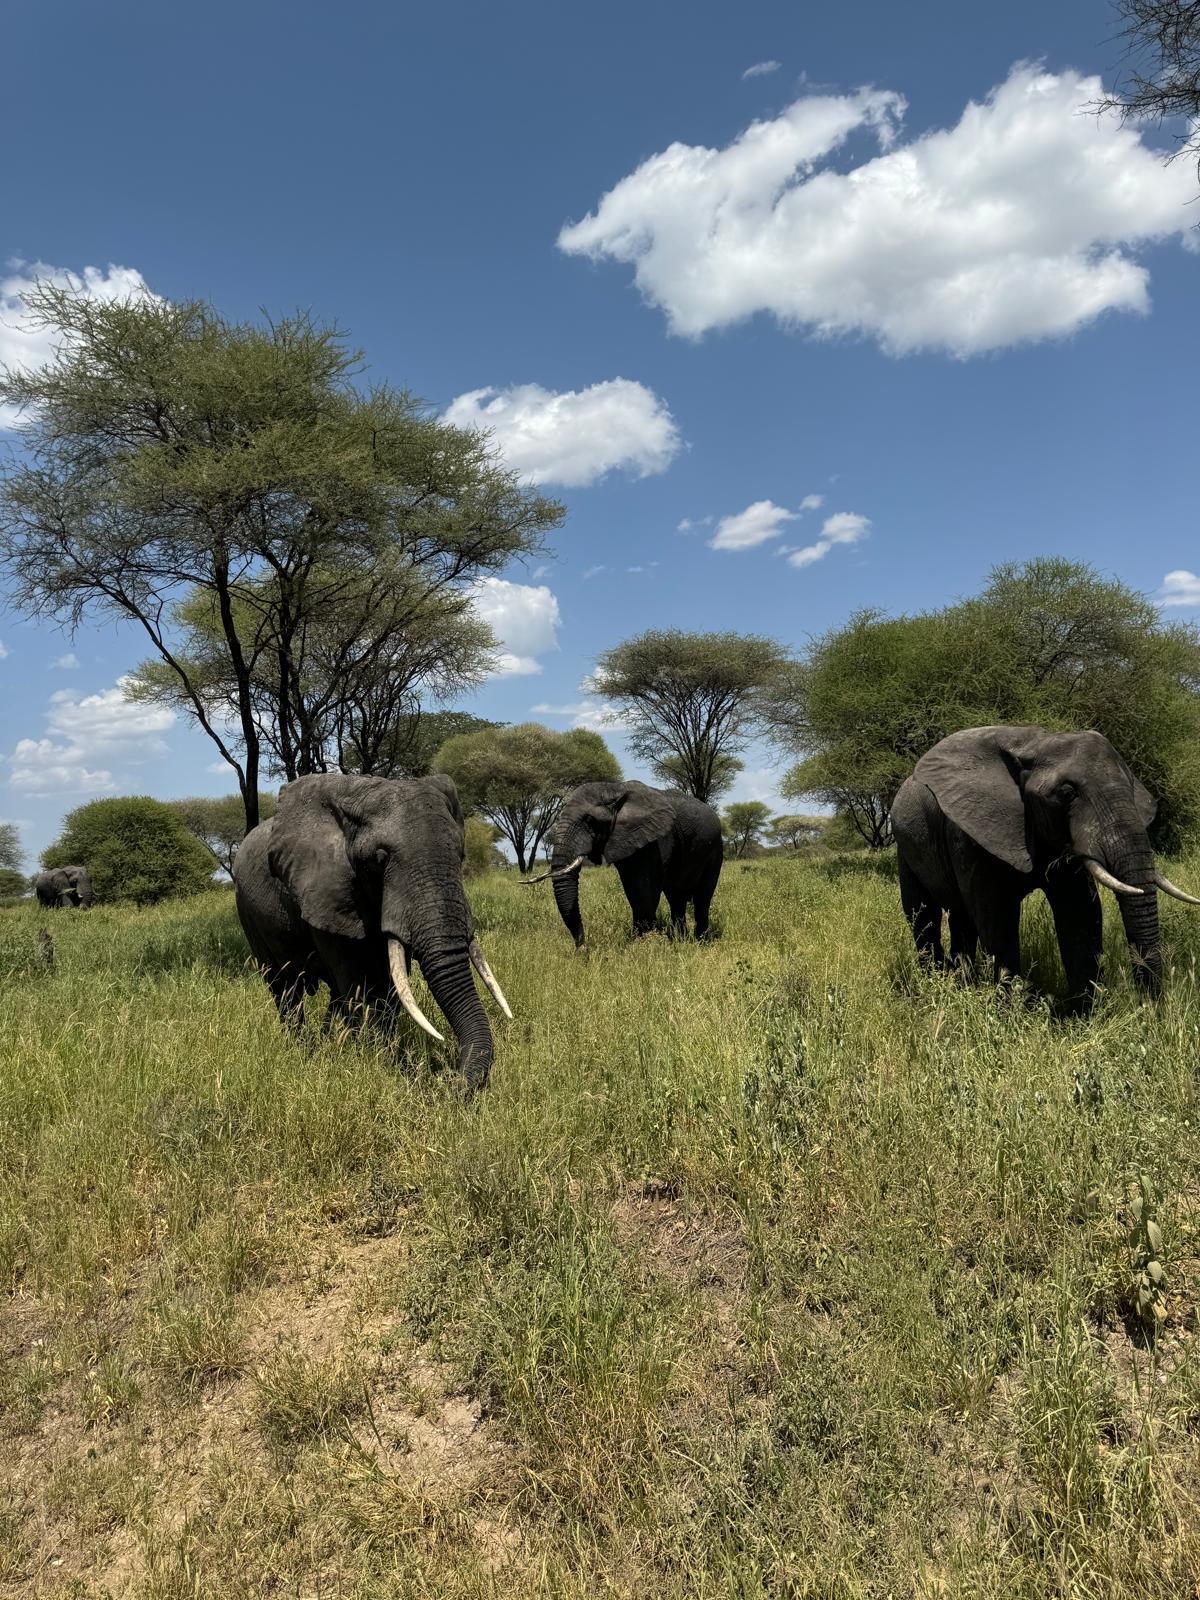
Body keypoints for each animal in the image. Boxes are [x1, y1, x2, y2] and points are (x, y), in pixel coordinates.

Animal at [232, 772, 511, 1090]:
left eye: (461, 854)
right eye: (378, 860)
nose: (452, 1081)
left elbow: (389, 985)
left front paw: (382, 1056)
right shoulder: (326, 889)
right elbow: (357, 982)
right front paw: (378, 1061)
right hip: (247, 912)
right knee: (285, 989)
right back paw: (305, 1050)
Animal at [528, 780, 723, 947]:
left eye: (590, 821)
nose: (582, 949)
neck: (615, 789)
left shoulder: (659, 839)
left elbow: (645, 888)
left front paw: (644, 946)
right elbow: (632, 888)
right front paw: (641, 942)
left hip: (715, 850)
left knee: (703, 897)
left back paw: (700, 941)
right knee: (676, 897)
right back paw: (681, 941)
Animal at [891, 725, 1200, 1009]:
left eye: (1132, 787)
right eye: (1067, 793)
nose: (1151, 1010)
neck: (1035, 743)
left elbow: (1079, 911)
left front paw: (1083, 1016)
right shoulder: (971, 833)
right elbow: (996, 916)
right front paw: (1007, 1015)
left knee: (960, 915)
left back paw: (961, 982)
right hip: (904, 843)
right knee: (923, 914)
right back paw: (935, 984)